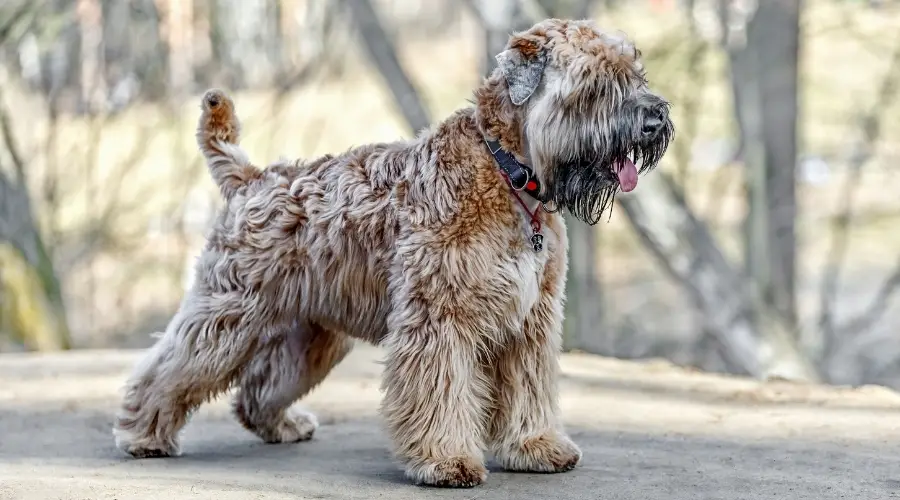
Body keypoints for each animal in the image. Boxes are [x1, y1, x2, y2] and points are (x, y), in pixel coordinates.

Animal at [112, 19, 672, 488]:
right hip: (227, 315)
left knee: (258, 389)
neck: (509, 175)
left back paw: (282, 424)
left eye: (634, 73)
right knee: (169, 368)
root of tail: (252, 178)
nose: (656, 119)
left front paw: (535, 446)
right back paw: (142, 434)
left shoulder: (529, 322)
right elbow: (440, 392)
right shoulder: (440, 318)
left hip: (310, 335)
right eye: (595, 83)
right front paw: (446, 461)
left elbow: (527, 390)